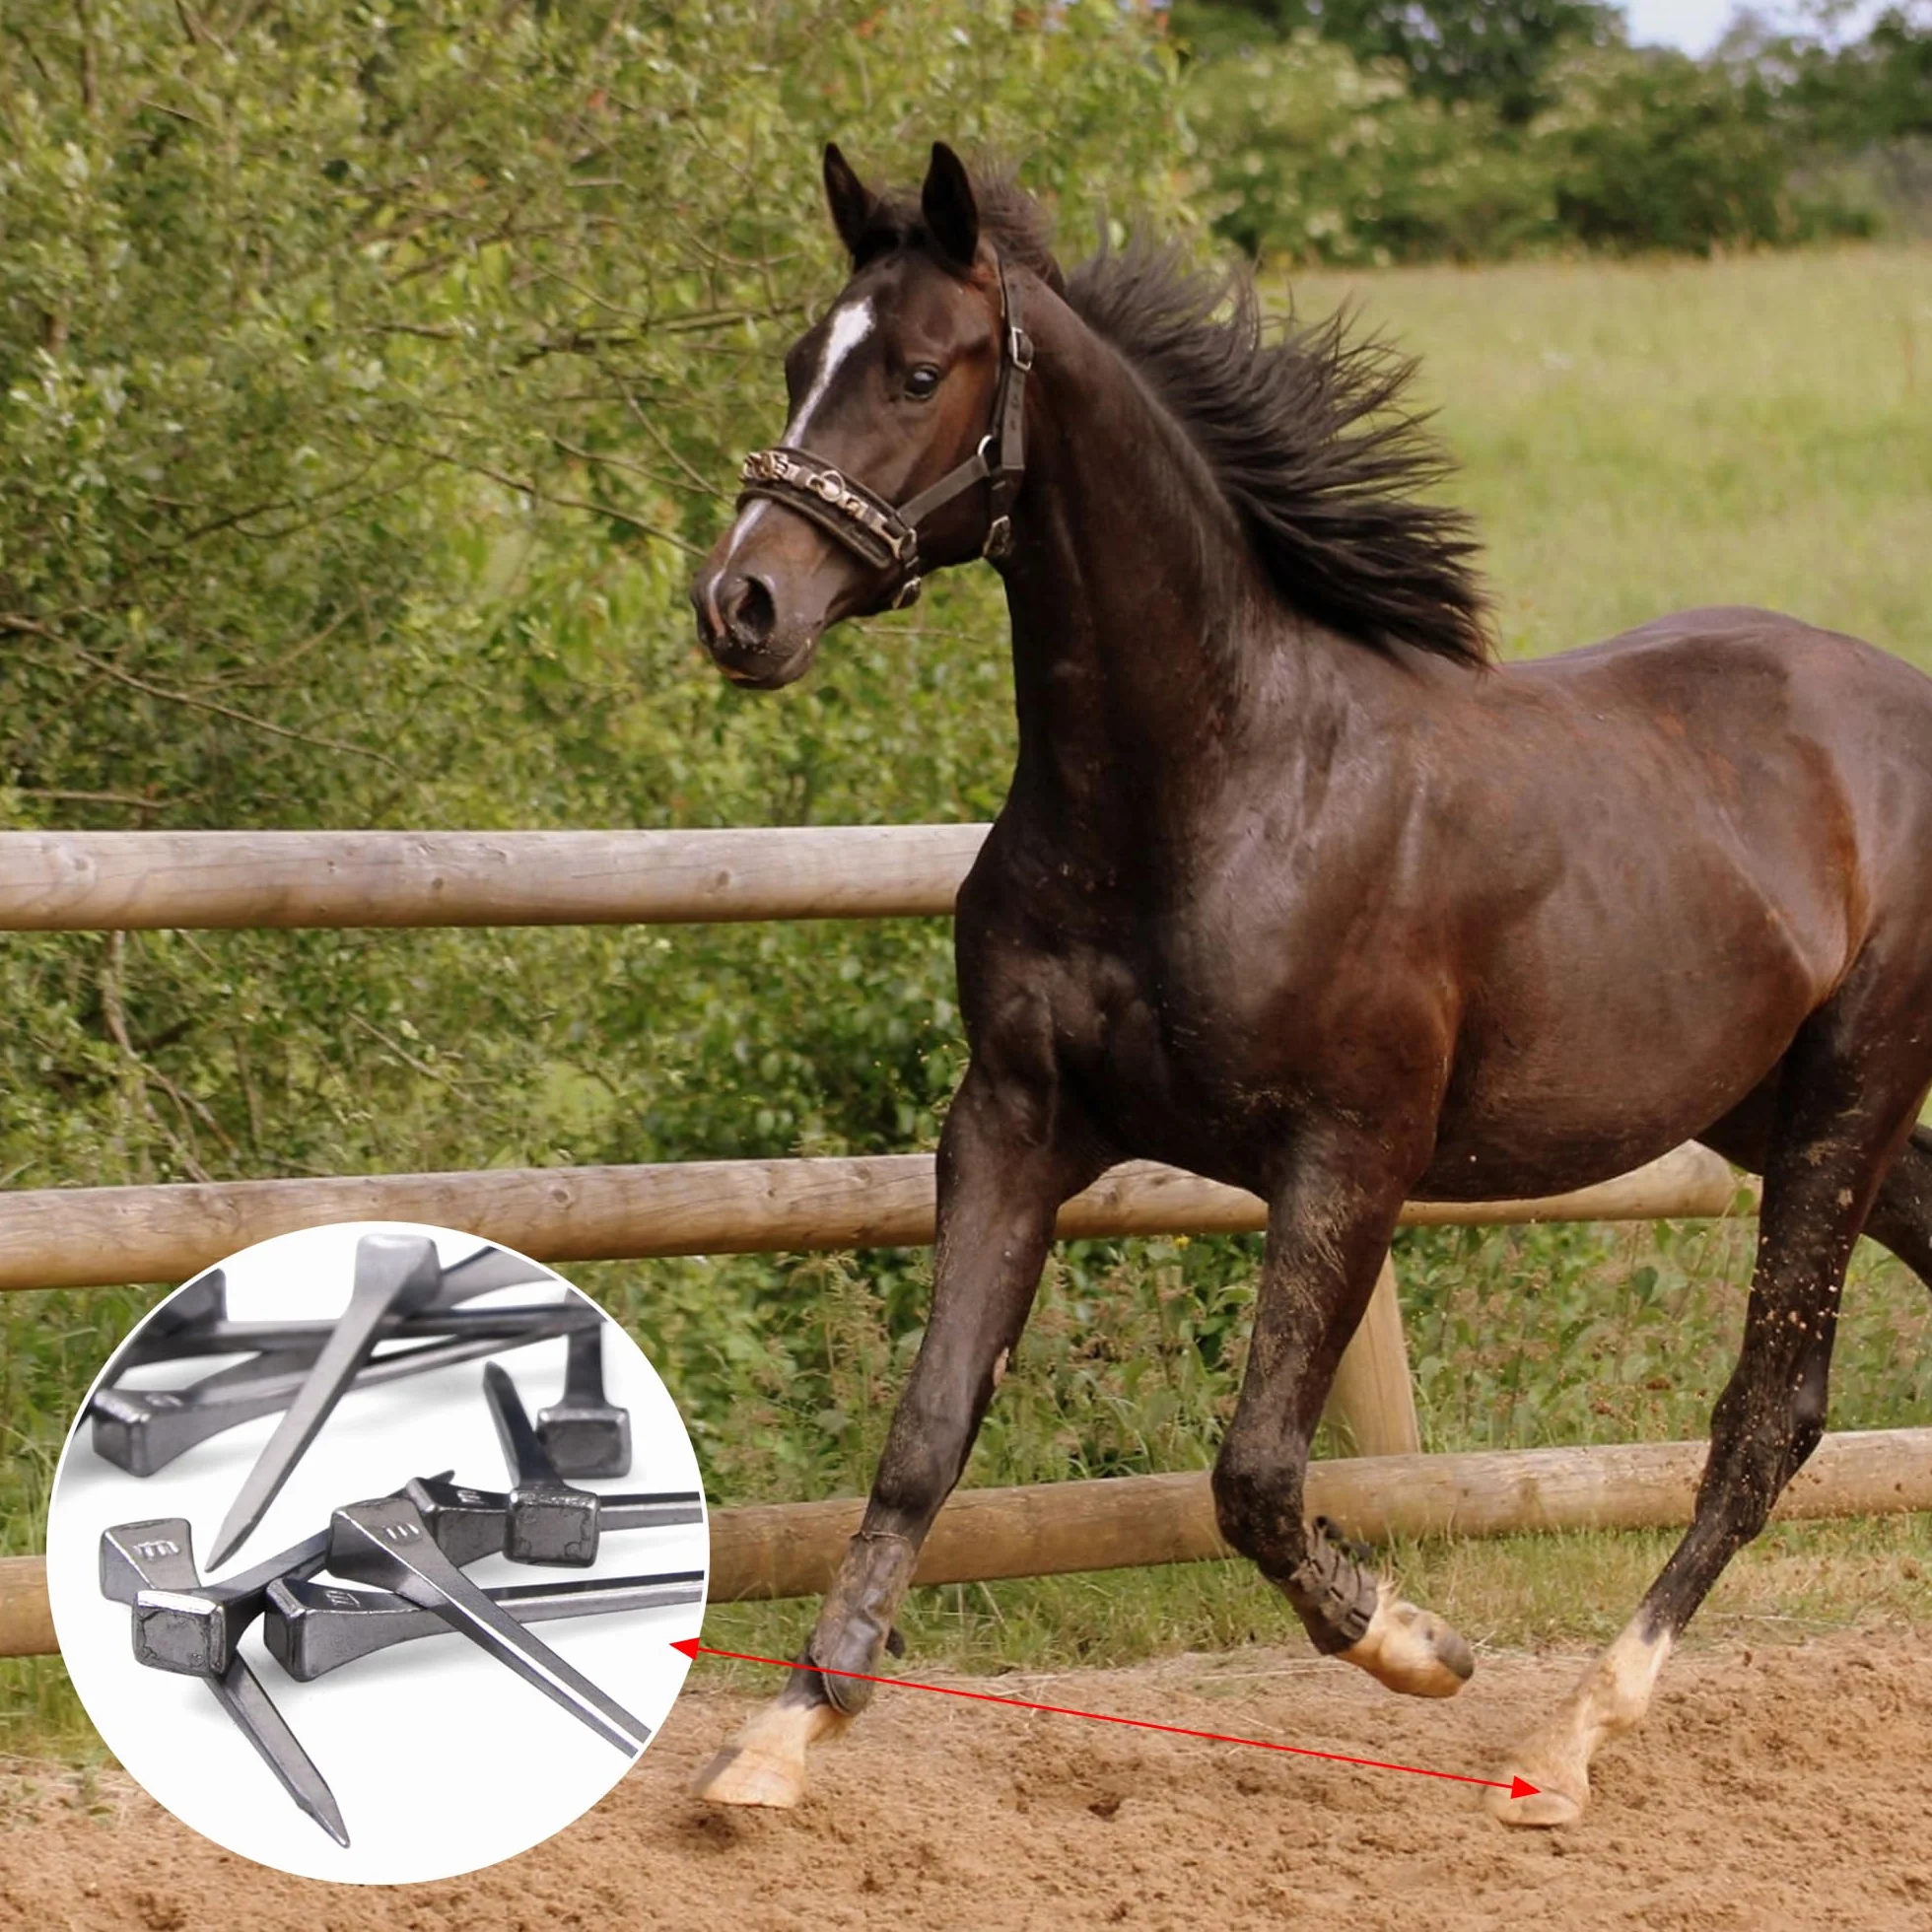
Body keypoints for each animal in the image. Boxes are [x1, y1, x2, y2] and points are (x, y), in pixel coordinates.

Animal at [688, 142, 1932, 1826]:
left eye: (921, 371)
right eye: (796, 360)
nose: (741, 606)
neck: (1213, 787)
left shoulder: (1351, 1153)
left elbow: (1258, 1475)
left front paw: (1425, 1648)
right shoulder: (1013, 1122)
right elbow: (927, 1435)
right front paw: (781, 1738)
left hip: (1847, 1099)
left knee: (1767, 1420)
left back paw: (1567, 1739)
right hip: (1766, 1104)